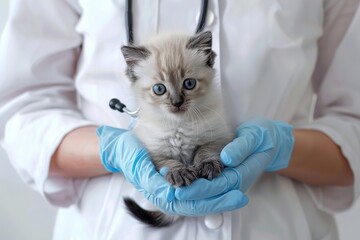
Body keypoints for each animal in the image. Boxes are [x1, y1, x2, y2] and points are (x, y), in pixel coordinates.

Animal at [121, 31, 233, 227]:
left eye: (189, 84)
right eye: (159, 89)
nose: (177, 102)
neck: (179, 126)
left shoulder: (219, 135)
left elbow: (206, 150)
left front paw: (207, 165)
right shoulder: (154, 150)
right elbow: (168, 162)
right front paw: (180, 172)